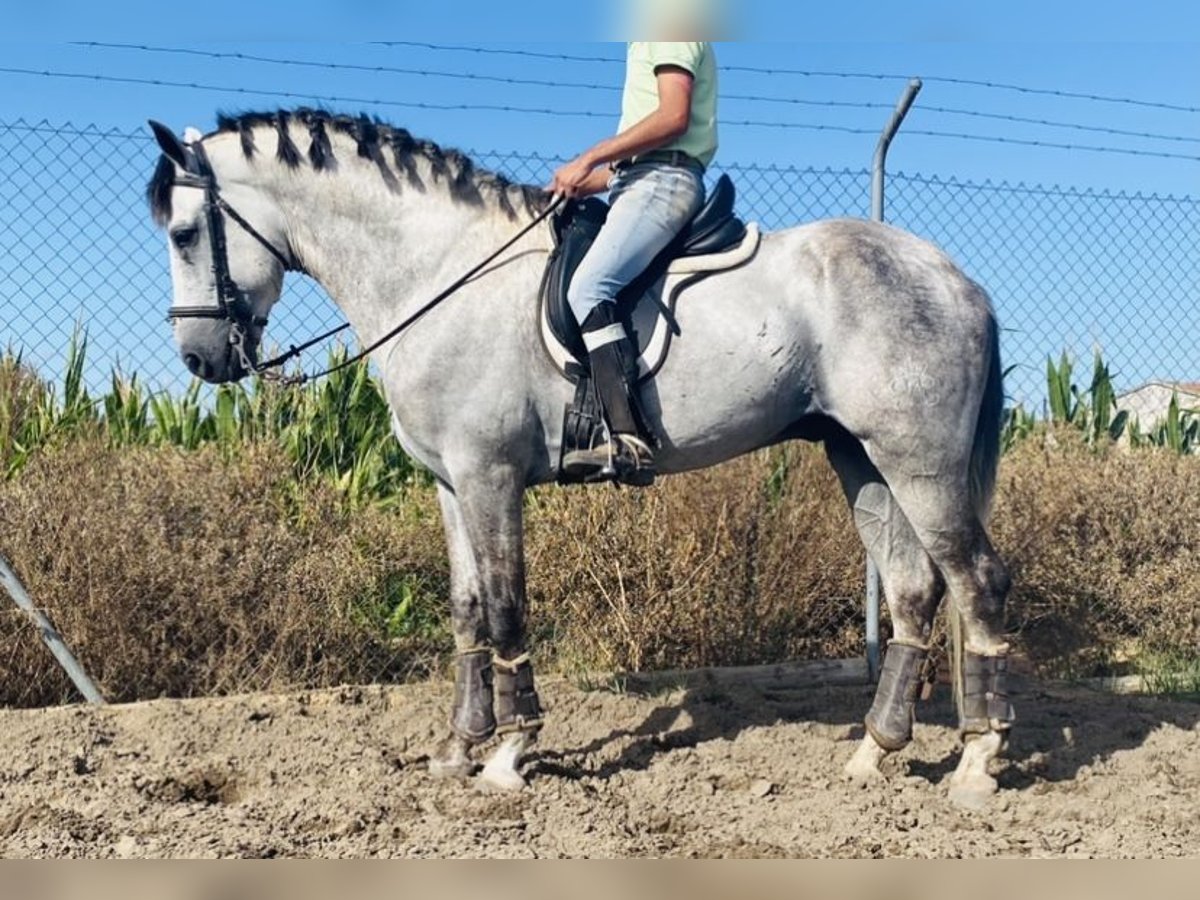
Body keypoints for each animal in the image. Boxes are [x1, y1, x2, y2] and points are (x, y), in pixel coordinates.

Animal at [147, 111, 1012, 811]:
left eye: (184, 233)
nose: (198, 359)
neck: (437, 272)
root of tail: (955, 279)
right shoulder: (449, 483)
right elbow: (466, 608)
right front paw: (458, 749)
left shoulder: (490, 476)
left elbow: (505, 606)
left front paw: (509, 753)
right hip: (858, 457)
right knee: (913, 588)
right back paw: (875, 751)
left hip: (918, 460)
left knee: (975, 580)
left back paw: (977, 762)